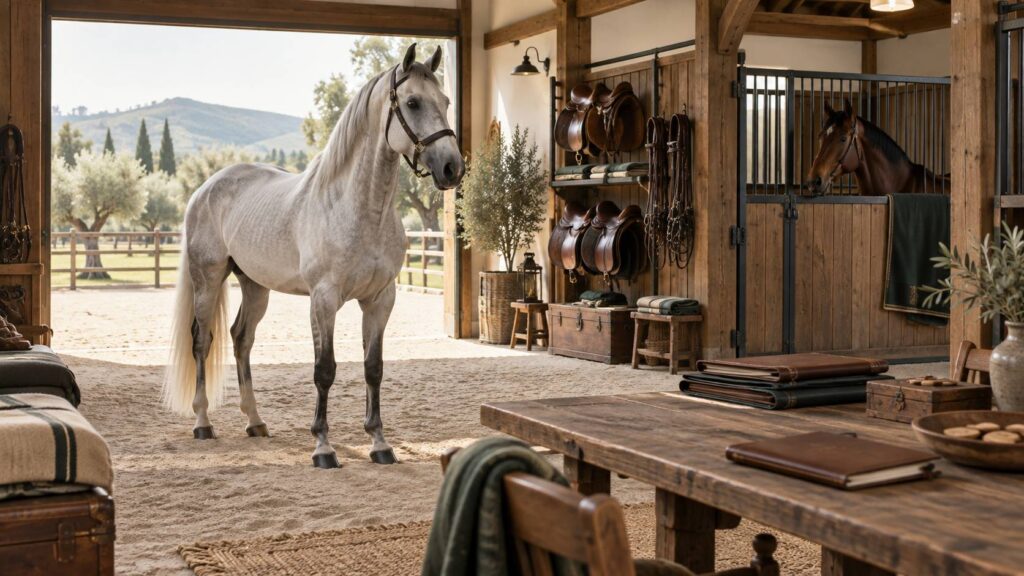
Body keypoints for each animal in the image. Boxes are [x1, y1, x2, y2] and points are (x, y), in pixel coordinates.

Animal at [163, 44, 464, 469]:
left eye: (446, 101)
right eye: (412, 102)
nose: (453, 167)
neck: (358, 208)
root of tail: (205, 188)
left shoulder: (380, 299)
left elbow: (373, 369)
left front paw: (379, 443)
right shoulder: (324, 299)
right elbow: (325, 370)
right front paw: (323, 447)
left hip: (255, 286)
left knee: (241, 339)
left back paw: (255, 421)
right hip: (207, 280)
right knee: (202, 341)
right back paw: (203, 422)